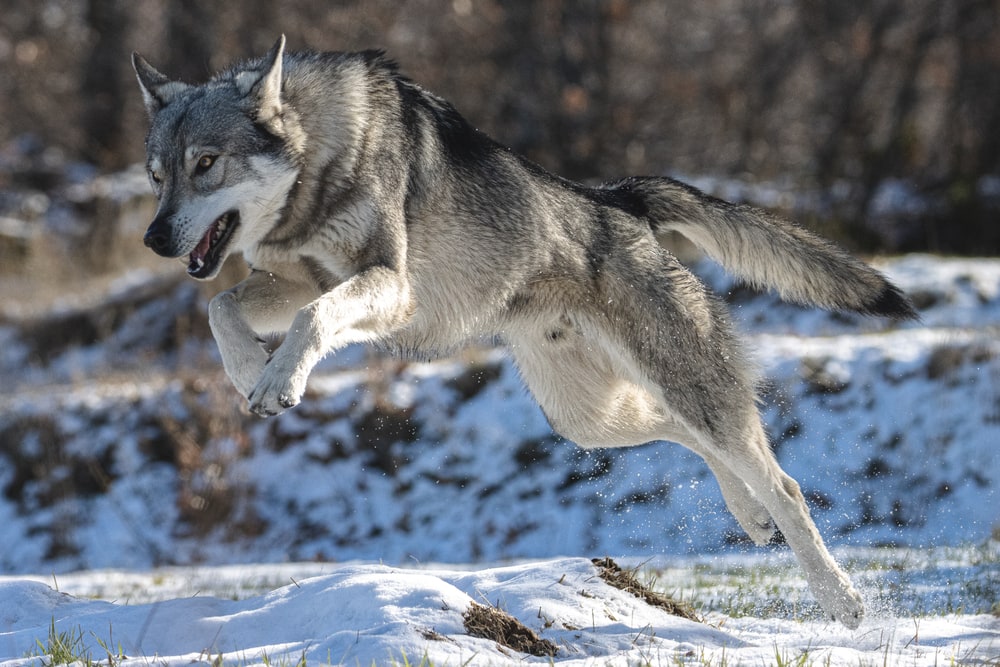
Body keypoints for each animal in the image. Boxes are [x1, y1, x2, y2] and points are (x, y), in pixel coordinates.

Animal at [133, 35, 916, 628]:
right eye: (156, 176)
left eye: (206, 164)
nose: (154, 239)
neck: (322, 159)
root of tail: (618, 199)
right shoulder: (300, 278)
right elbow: (222, 308)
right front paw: (250, 372)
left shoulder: (386, 286)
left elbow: (309, 318)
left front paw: (278, 379)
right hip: (587, 420)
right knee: (688, 436)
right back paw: (750, 519)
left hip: (670, 390)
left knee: (785, 482)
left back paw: (842, 601)